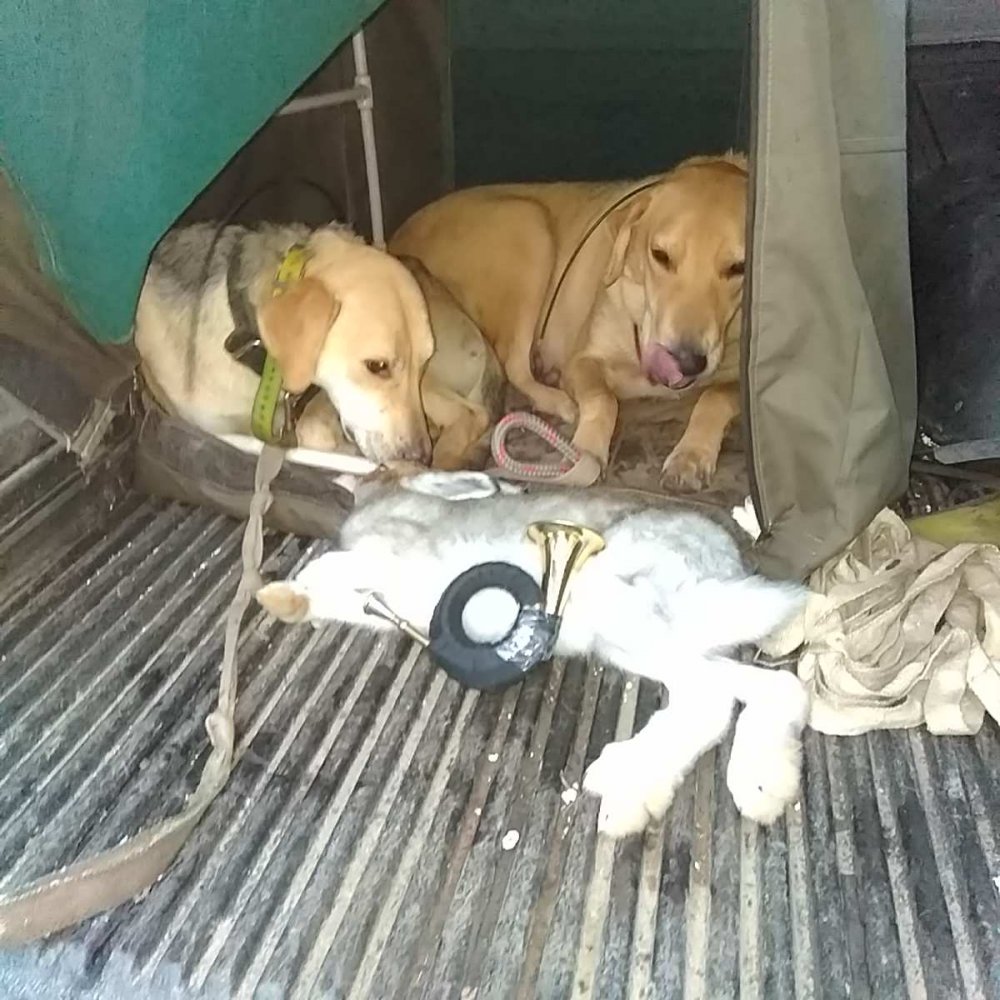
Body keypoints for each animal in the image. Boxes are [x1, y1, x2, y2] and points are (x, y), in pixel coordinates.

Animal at [256, 470, 810, 837]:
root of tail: (727, 566)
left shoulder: (388, 554)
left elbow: (336, 567)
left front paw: (285, 591)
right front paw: (286, 600)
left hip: (627, 610)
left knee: (713, 698)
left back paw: (622, 778)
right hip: (638, 639)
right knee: (761, 691)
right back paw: (749, 787)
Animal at [390, 153, 748, 491]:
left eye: (738, 267)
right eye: (660, 255)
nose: (686, 362)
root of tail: (394, 245)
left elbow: (714, 396)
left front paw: (691, 456)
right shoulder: (584, 359)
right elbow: (603, 400)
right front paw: (585, 452)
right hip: (529, 227)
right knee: (514, 366)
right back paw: (560, 400)